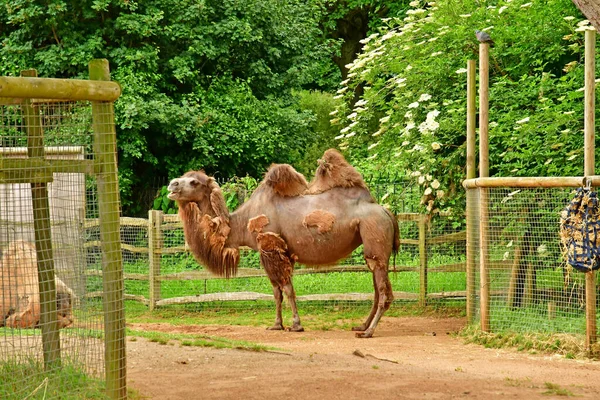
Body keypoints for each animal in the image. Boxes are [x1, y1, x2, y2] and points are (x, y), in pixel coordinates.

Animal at [168, 148, 398, 336]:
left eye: (194, 182)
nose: (172, 184)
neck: (241, 223)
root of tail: (385, 211)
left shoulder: (272, 247)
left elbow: (286, 289)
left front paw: (296, 325)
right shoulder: (274, 252)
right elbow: (276, 291)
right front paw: (277, 325)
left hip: (375, 237)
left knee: (383, 291)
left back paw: (368, 331)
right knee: (378, 289)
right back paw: (361, 325)